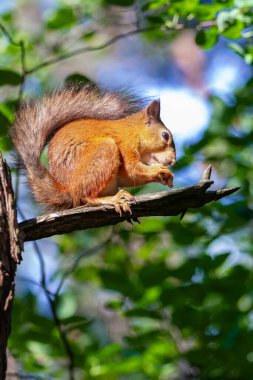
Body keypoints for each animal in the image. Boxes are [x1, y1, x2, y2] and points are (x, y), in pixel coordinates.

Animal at [10, 83, 176, 215]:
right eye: (165, 135)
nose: (173, 161)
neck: (135, 131)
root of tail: (69, 190)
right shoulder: (126, 143)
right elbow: (132, 169)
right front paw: (158, 170)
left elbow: (127, 176)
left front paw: (165, 177)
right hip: (104, 150)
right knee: (86, 196)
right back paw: (113, 199)